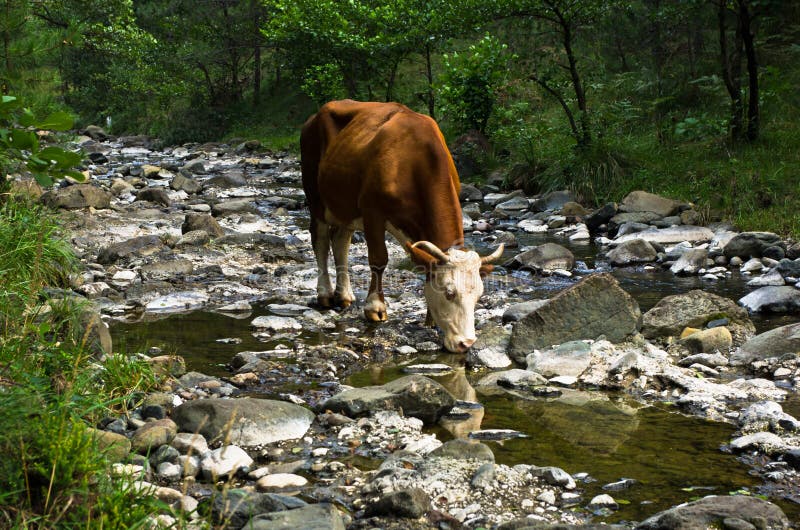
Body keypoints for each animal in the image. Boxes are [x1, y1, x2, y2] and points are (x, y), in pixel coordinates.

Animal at [300, 100, 503, 353]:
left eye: (479, 295)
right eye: (449, 293)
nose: (466, 343)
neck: (414, 160)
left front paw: (429, 318)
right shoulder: (372, 211)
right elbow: (378, 260)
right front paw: (375, 308)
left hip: (344, 204)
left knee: (340, 241)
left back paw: (344, 294)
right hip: (315, 196)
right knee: (319, 239)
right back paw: (325, 294)